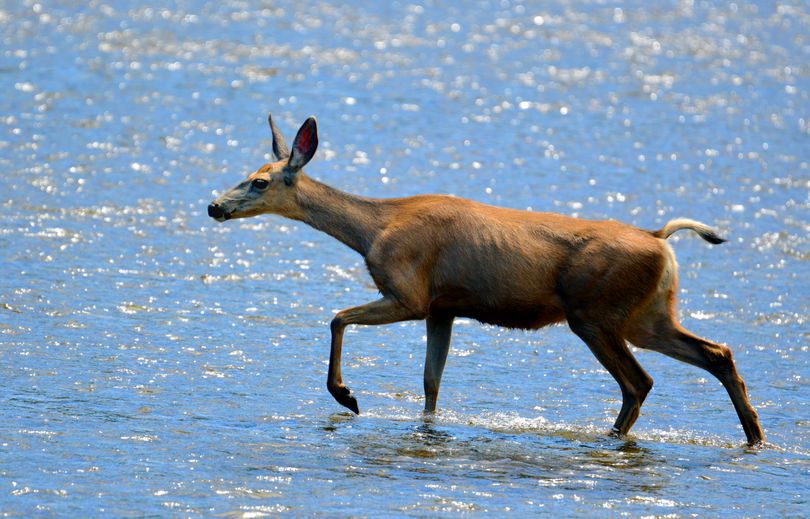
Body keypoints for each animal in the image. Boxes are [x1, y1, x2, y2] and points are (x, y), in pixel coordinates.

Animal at [205, 115, 760, 446]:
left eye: (260, 181)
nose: (214, 206)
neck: (374, 230)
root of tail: (661, 240)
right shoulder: (444, 308)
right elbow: (431, 382)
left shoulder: (409, 293)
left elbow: (337, 317)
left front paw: (346, 395)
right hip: (647, 315)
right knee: (716, 353)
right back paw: (755, 438)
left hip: (594, 314)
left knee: (639, 381)